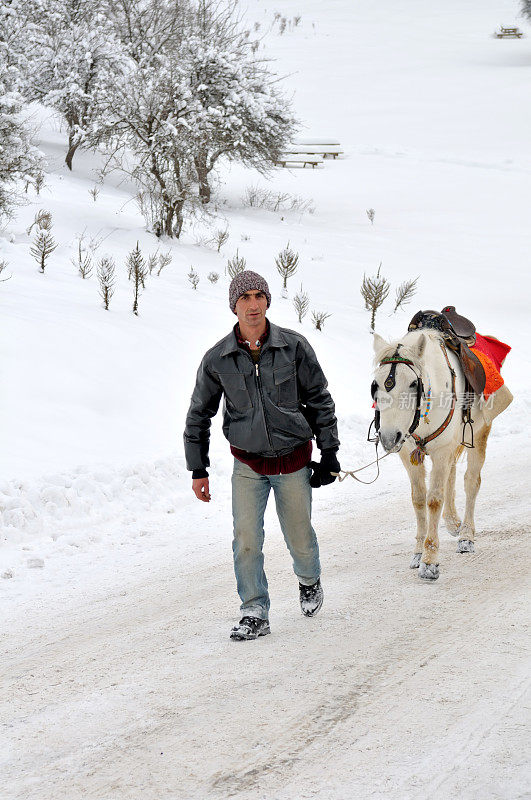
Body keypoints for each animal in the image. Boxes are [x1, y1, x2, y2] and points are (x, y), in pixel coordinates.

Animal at [372, 332, 512, 580]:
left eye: (413, 383)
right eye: (376, 385)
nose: (388, 438)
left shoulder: (441, 449)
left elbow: (434, 500)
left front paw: (430, 561)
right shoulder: (409, 452)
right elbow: (419, 499)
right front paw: (418, 553)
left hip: (480, 431)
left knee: (471, 482)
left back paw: (466, 535)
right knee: (451, 475)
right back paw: (453, 522)